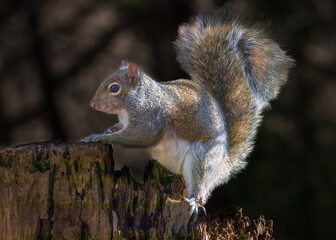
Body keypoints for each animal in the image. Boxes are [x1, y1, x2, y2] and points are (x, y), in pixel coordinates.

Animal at [83, 5, 294, 219]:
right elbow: (120, 128)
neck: (130, 106)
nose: (93, 105)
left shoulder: (152, 117)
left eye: (114, 88)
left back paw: (194, 201)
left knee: (200, 186)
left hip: (202, 160)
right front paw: (108, 130)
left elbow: (140, 137)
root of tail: (222, 164)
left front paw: (99, 137)